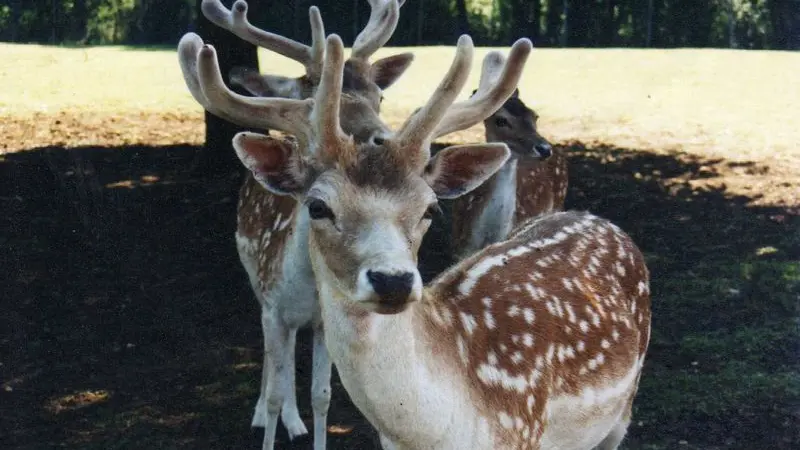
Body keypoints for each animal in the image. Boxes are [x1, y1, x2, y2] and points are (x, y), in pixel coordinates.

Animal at [184, 19, 652, 448]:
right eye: (317, 206)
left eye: (431, 208)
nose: (392, 280)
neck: (434, 432)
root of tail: (602, 220)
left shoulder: (524, 431)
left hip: (622, 411)